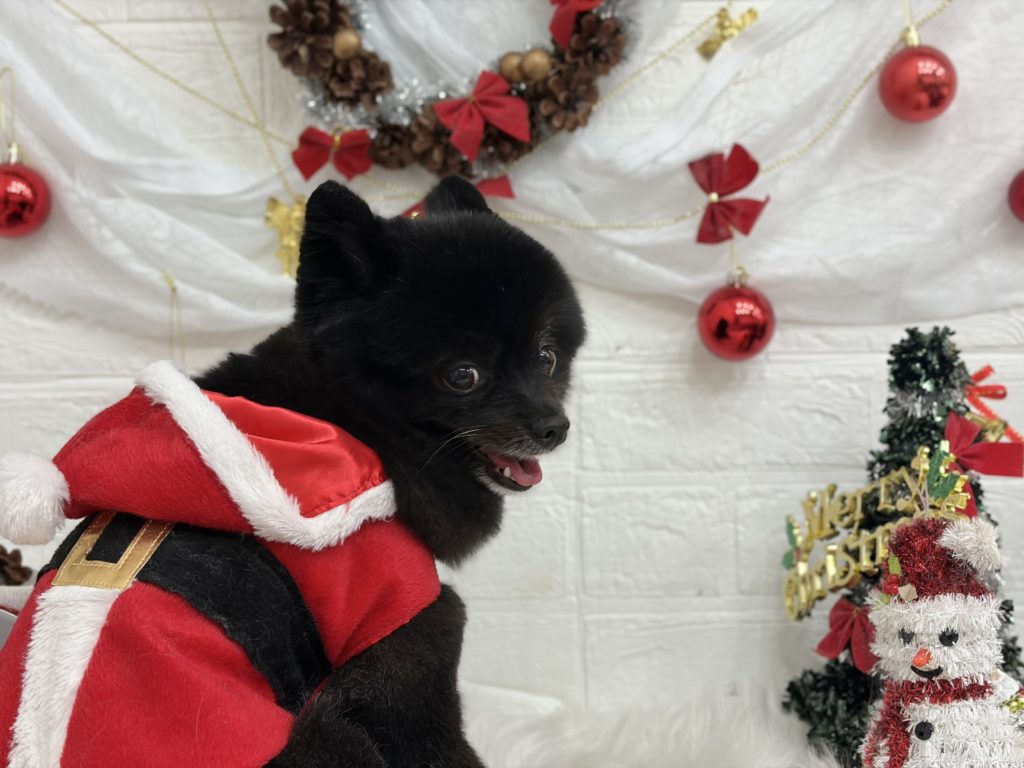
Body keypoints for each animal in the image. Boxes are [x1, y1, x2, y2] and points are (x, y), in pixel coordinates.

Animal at [0, 176, 584, 766]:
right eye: (464, 375)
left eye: (547, 358)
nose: (554, 426)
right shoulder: (406, 626)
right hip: (331, 737)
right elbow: (436, 737)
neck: (346, 417)